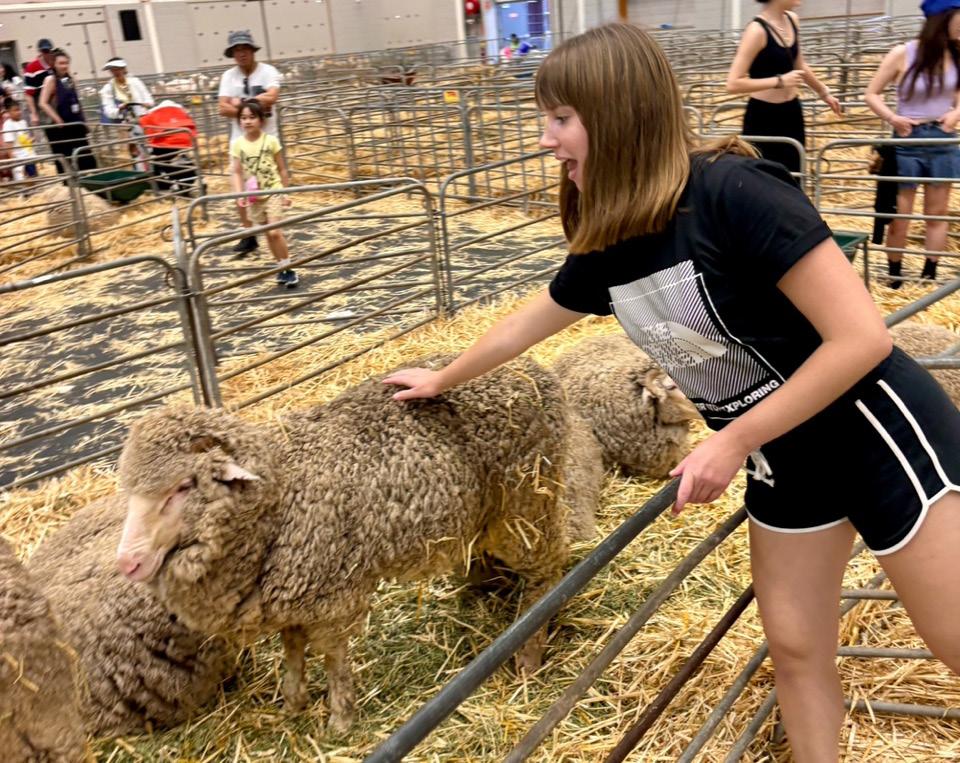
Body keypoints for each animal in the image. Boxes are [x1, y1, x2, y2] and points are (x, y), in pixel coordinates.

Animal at [115, 356, 577, 732]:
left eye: (182, 486)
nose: (128, 564)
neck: (283, 488)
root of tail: (535, 371)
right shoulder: (290, 597)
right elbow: (292, 648)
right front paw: (294, 702)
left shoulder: (331, 595)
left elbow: (333, 658)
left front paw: (340, 718)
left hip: (525, 504)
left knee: (547, 569)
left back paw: (529, 653)